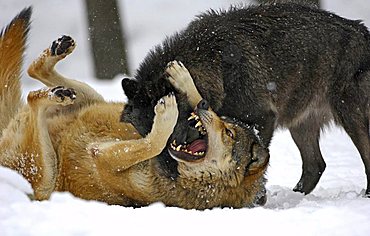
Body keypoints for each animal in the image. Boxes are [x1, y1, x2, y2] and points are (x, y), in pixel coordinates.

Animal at [0, 8, 268, 209]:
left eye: (229, 134)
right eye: (226, 123)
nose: (203, 106)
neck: (174, 170)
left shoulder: (102, 156)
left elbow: (153, 143)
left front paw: (166, 115)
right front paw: (184, 83)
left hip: (44, 174)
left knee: (33, 98)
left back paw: (53, 94)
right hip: (91, 97)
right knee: (34, 72)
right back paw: (58, 52)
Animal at [123, 2, 370, 196]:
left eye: (171, 123)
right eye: (146, 131)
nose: (168, 176)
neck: (219, 66)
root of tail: (363, 31)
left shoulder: (262, 119)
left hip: (351, 118)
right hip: (300, 126)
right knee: (315, 166)